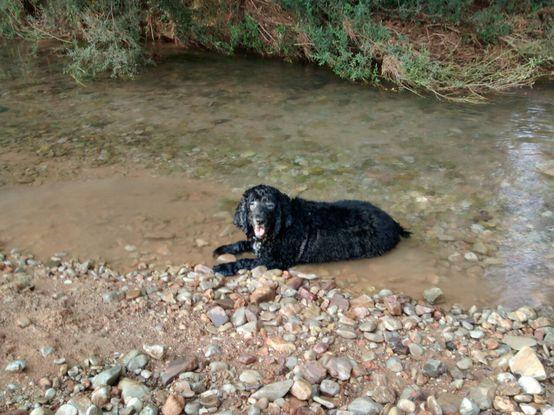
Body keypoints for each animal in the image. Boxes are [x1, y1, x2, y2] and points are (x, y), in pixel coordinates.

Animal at [212, 184, 410, 276]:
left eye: (270, 204)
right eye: (252, 203)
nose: (259, 220)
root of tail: (393, 222)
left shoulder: (275, 261)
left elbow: (245, 261)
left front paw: (224, 266)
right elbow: (243, 244)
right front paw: (223, 249)